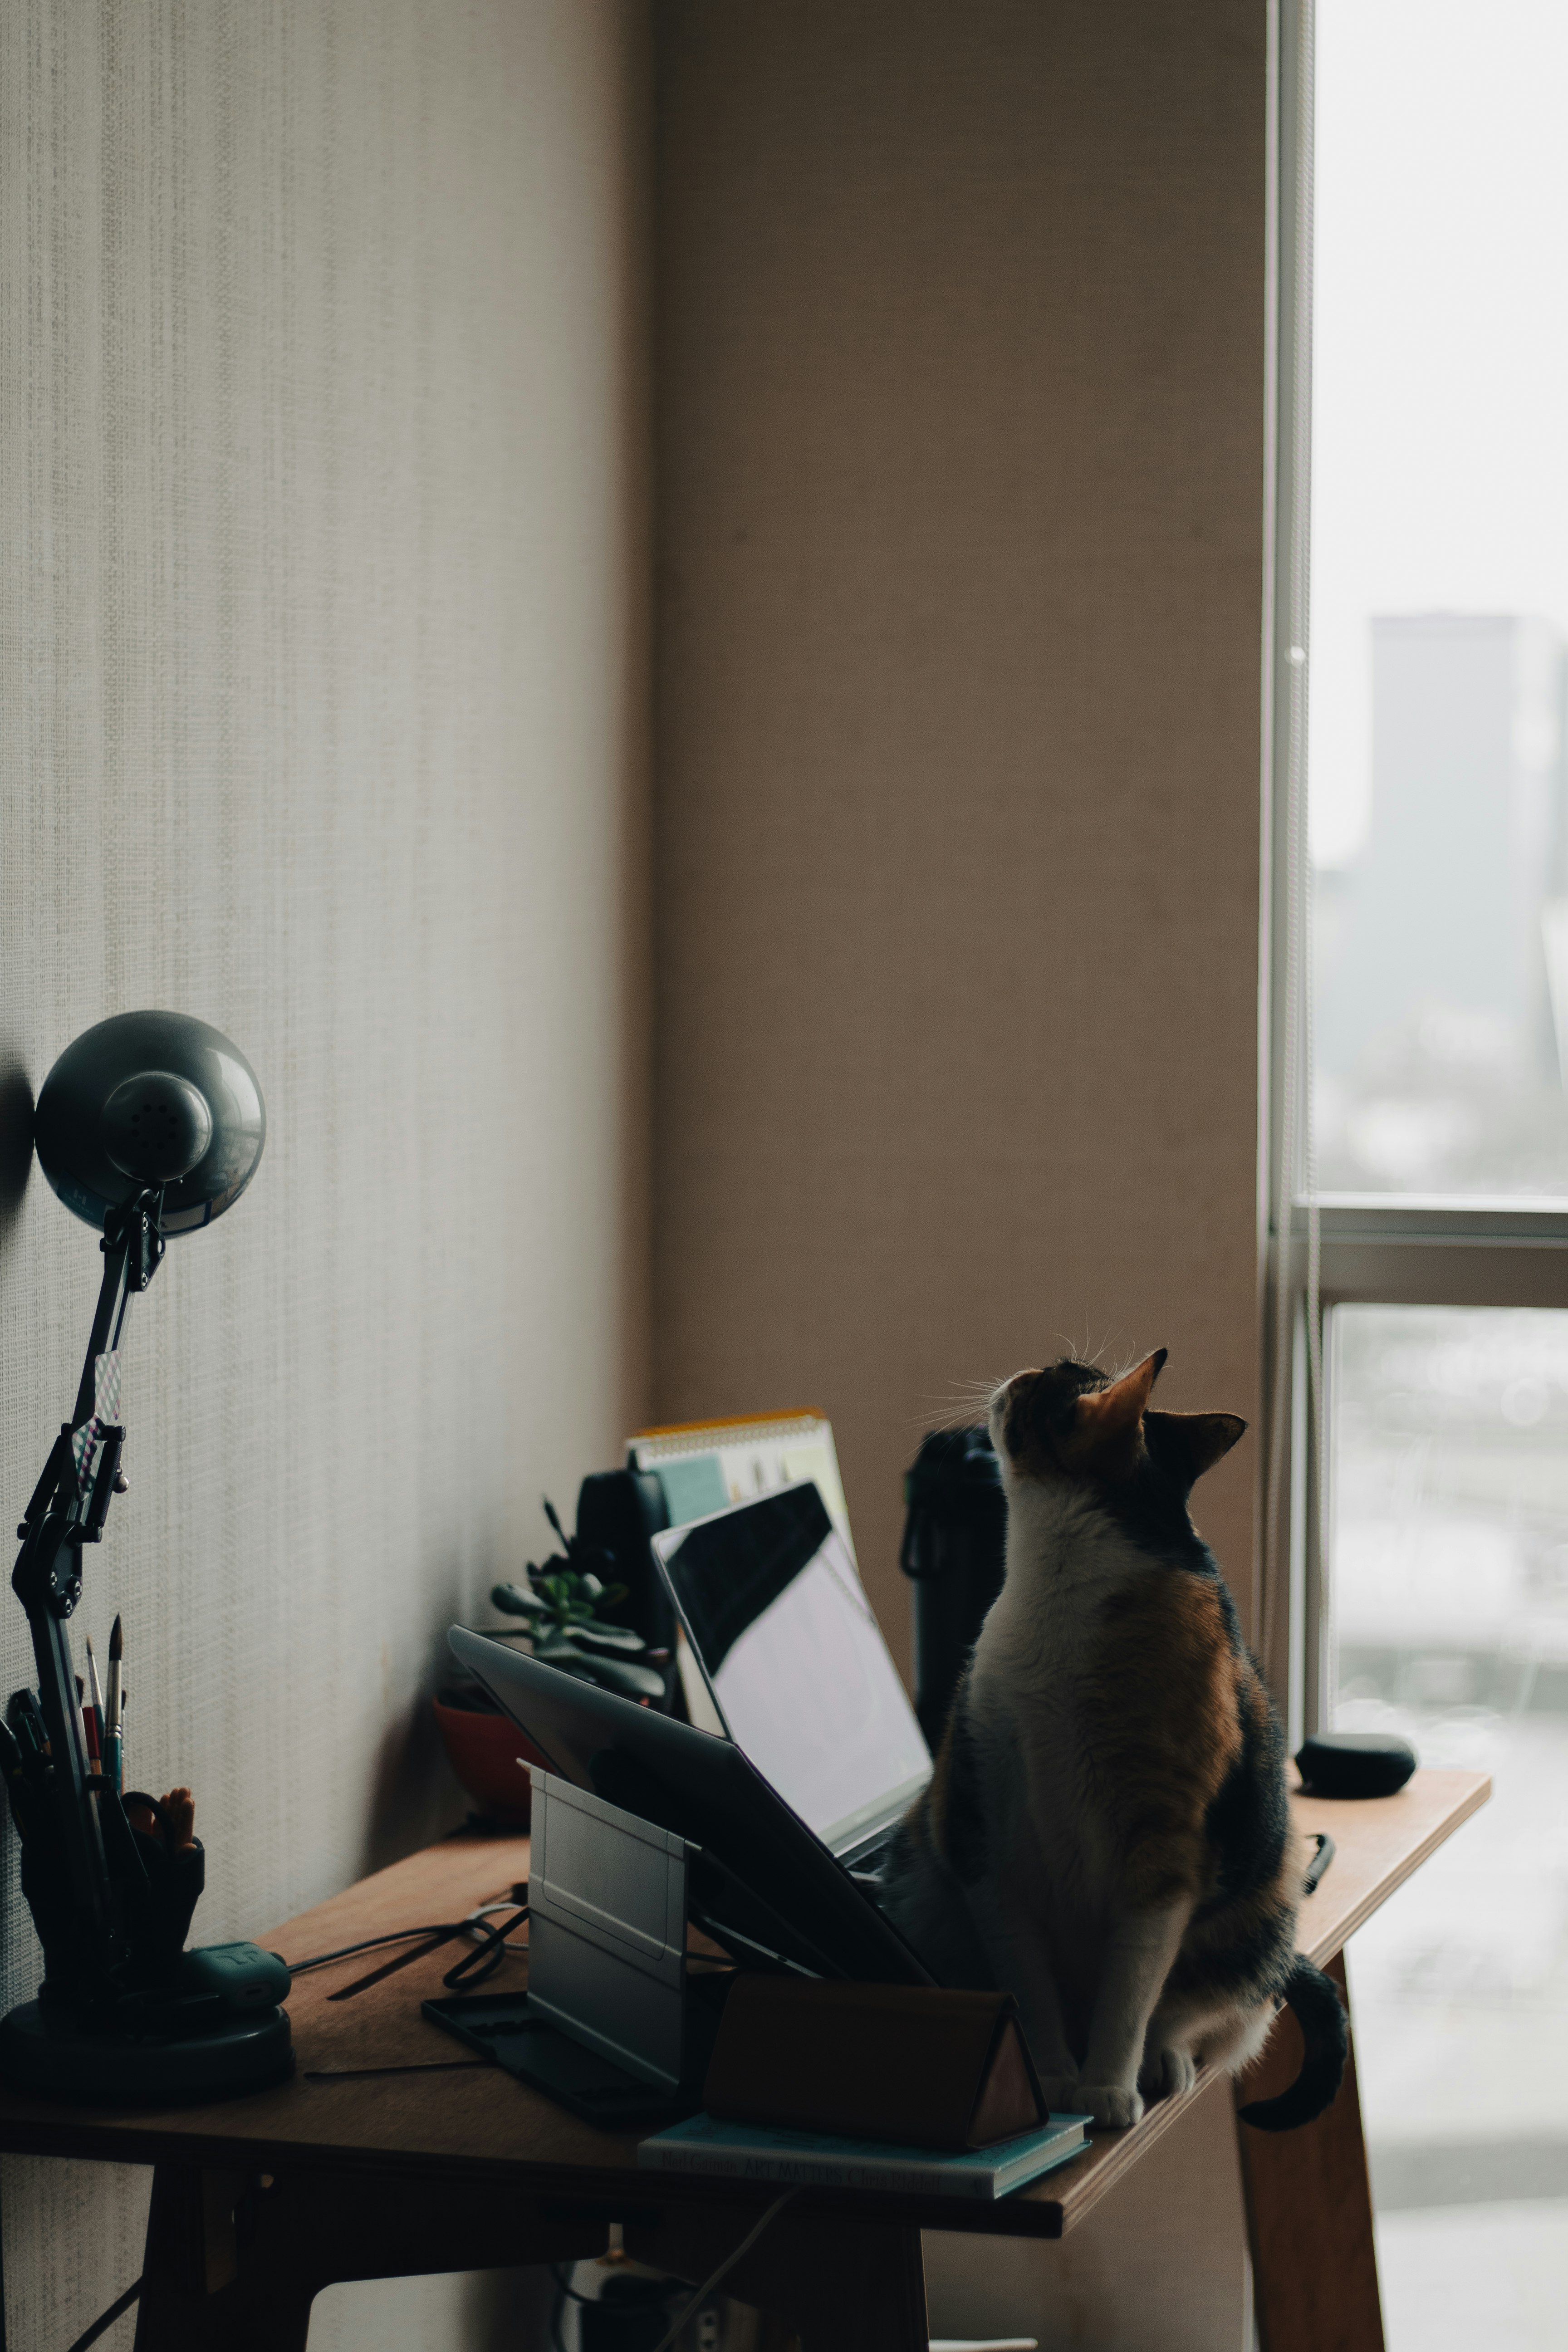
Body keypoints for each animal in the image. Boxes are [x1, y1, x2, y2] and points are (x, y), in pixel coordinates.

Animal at [884, 1345, 1354, 2136]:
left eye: (1043, 1379)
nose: (1010, 1374)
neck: (1056, 1598)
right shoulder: (985, 1839)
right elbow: (1026, 1988)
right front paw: (1046, 2081)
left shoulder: (1166, 1855)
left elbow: (1133, 1988)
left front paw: (1106, 2088)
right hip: (925, 1885)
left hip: (1261, 1910)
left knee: (1186, 2011)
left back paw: (1160, 2064)